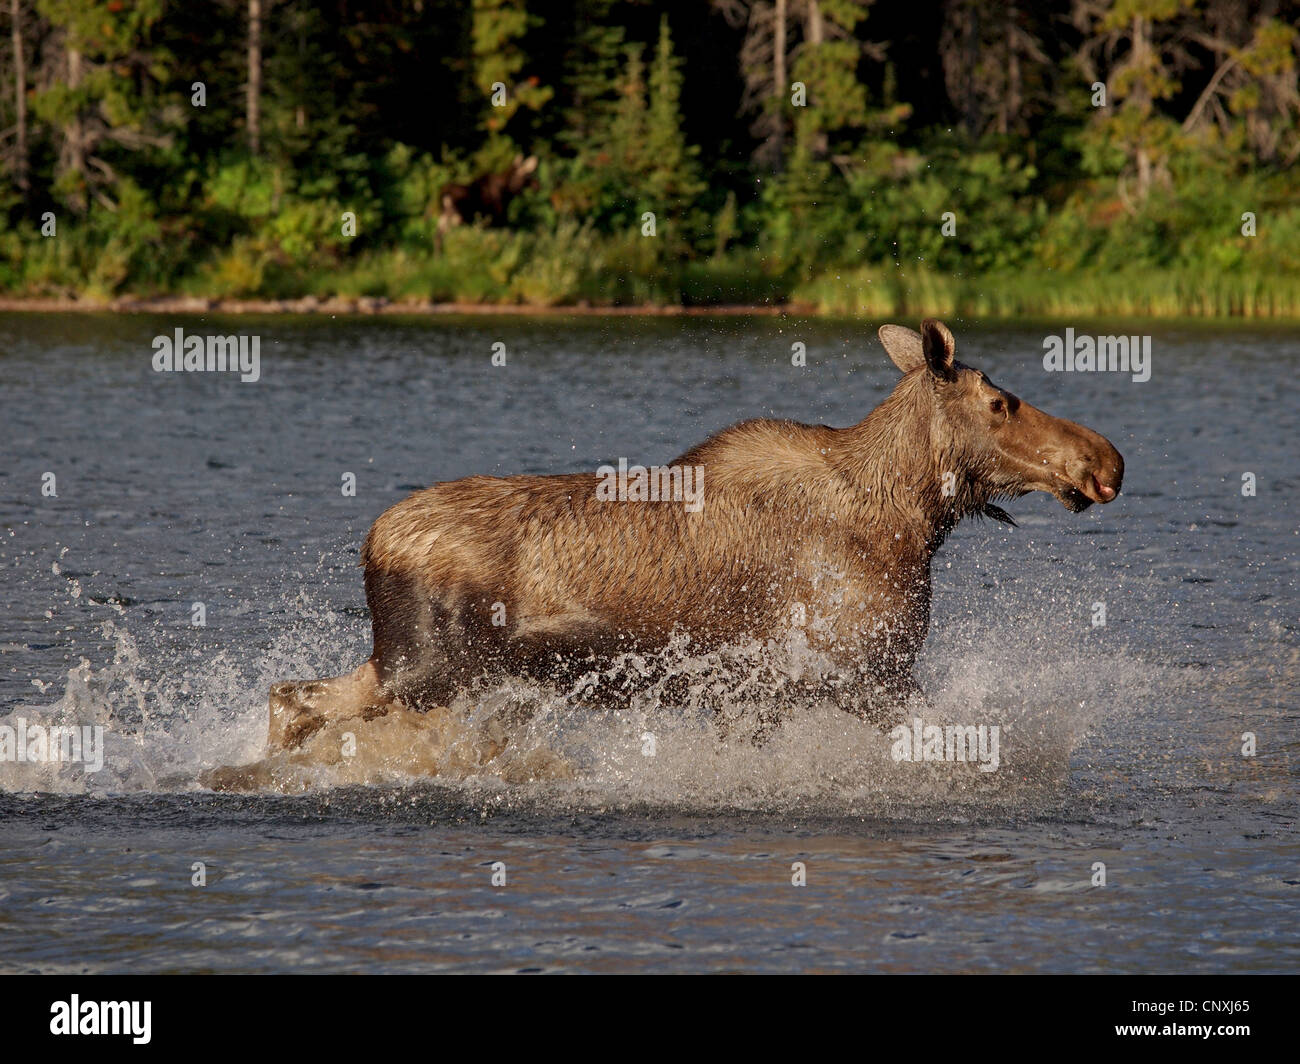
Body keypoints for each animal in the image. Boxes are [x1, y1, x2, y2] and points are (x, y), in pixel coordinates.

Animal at [261, 318, 1118, 749]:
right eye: (1001, 401)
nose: (1104, 459)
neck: (912, 522)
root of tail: (371, 543)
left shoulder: (768, 689)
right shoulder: (859, 667)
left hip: (429, 671)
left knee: (287, 696)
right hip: (428, 670)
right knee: (298, 698)